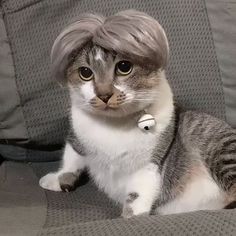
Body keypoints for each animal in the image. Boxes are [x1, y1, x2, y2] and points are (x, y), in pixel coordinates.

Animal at [39, 9, 236, 218]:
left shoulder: (149, 163)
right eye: (85, 72)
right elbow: (71, 158)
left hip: (218, 147)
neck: (113, 126)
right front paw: (58, 179)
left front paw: (130, 217)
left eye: (124, 67)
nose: (104, 94)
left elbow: (137, 194)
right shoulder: (76, 136)